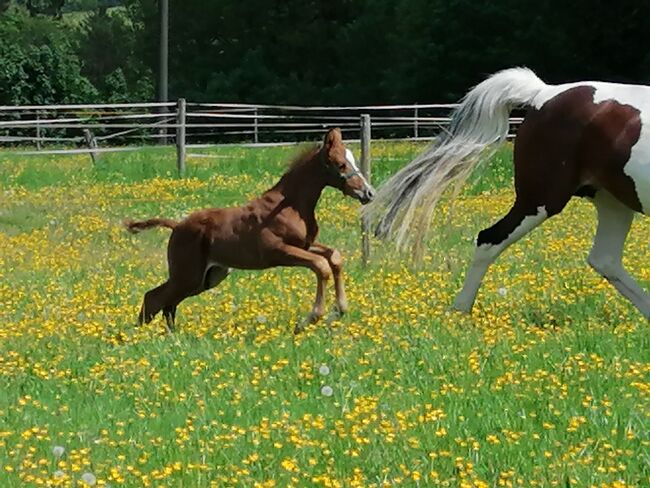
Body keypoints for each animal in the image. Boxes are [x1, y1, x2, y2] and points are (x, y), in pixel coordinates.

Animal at [125, 127, 374, 334]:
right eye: (341, 164)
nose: (368, 193)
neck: (290, 204)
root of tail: (177, 226)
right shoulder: (278, 251)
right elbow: (321, 265)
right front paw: (310, 319)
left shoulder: (305, 244)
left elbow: (335, 257)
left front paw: (339, 310)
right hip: (188, 274)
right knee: (154, 298)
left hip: (207, 277)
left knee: (168, 302)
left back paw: (171, 335)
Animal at [368, 68, 648, 318]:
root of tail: (543, 93)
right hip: (539, 200)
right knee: (488, 239)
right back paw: (460, 311)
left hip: (613, 203)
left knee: (605, 259)